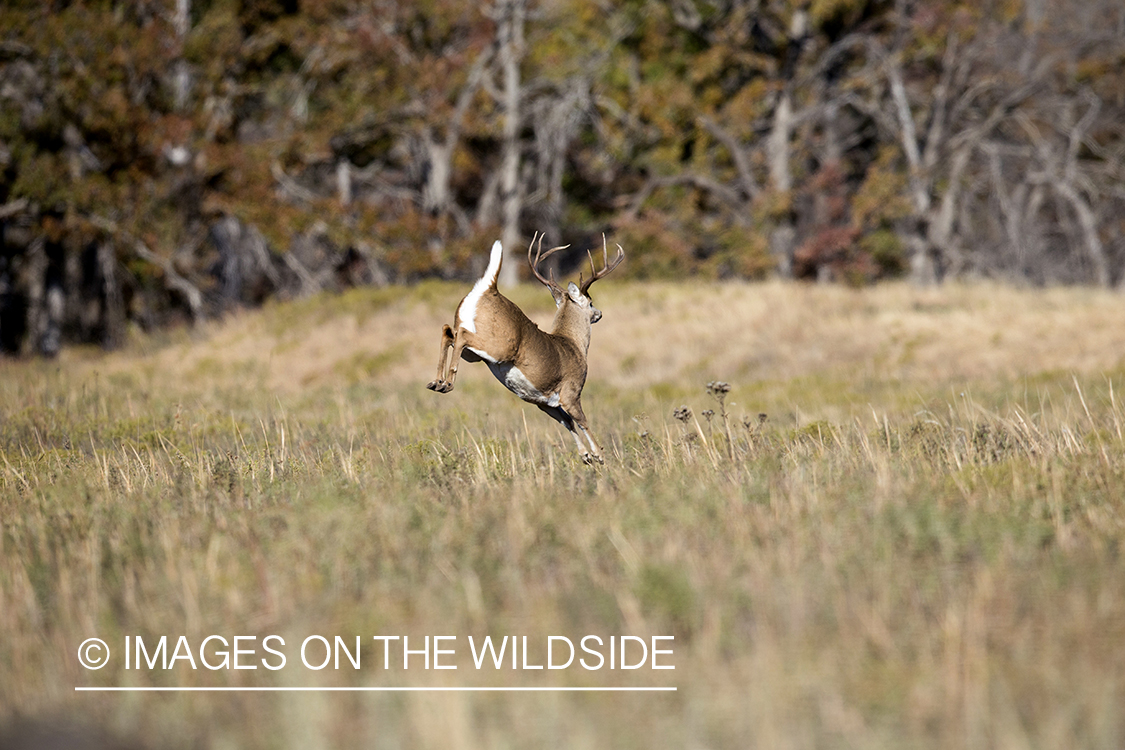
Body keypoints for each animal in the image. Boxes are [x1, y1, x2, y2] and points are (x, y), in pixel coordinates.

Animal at [427, 235, 625, 463]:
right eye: (591, 302)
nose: (599, 313)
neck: (573, 344)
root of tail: (490, 288)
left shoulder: (544, 402)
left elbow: (567, 422)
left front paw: (585, 455)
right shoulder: (571, 391)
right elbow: (582, 421)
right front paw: (599, 455)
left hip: (473, 353)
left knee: (448, 330)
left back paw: (437, 382)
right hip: (499, 347)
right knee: (462, 335)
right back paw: (447, 383)